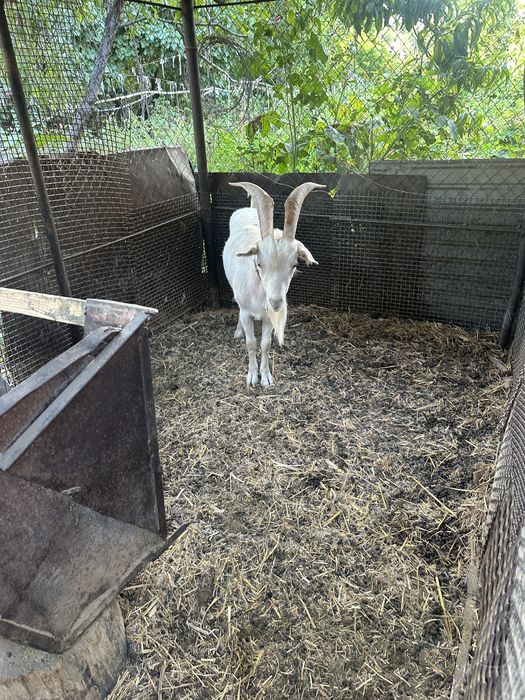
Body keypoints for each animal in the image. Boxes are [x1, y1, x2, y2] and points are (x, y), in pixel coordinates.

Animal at [223, 181, 324, 386]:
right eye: (259, 263)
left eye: (294, 265)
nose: (276, 303)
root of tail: (250, 209)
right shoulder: (246, 312)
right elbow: (251, 343)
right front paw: (252, 376)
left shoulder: (269, 317)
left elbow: (265, 344)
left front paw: (266, 376)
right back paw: (238, 331)